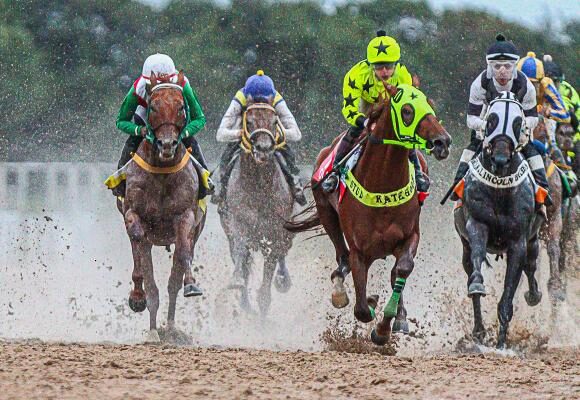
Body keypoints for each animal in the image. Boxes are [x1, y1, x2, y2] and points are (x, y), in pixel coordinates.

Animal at [119, 71, 207, 340]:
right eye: (153, 107)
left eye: (180, 107)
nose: (167, 145)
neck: (162, 172)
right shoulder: (132, 213)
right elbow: (138, 239)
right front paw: (137, 297)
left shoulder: (186, 216)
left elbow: (184, 251)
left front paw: (191, 283)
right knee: (152, 284)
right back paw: (153, 329)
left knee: (172, 282)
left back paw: (170, 328)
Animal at [286, 83, 454, 344]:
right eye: (407, 110)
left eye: (430, 105)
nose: (442, 142)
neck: (382, 184)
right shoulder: (360, 251)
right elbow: (362, 309)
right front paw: (373, 305)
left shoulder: (410, 236)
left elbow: (403, 269)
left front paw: (386, 326)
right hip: (326, 213)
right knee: (342, 257)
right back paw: (341, 291)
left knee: (394, 273)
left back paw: (400, 317)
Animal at [456, 93, 548, 346]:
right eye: (491, 119)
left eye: (517, 122)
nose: (499, 158)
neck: (499, 189)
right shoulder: (477, 224)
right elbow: (477, 262)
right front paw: (478, 283)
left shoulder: (519, 241)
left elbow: (509, 292)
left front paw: (502, 343)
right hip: (464, 245)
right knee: (470, 269)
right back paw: (478, 331)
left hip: (534, 241)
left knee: (531, 267)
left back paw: (534, 295)